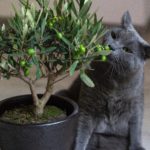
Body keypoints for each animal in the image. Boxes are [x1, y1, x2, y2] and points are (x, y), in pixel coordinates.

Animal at [56, 11, 149, 149]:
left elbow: (136, 129)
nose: (111, 46)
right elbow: (82, 131)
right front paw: (79, 147)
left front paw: (136, 146)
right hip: (63, 93)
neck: (114, 80)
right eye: (114, 35)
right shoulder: (88, 105)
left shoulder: (136, 105)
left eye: (127, 50)